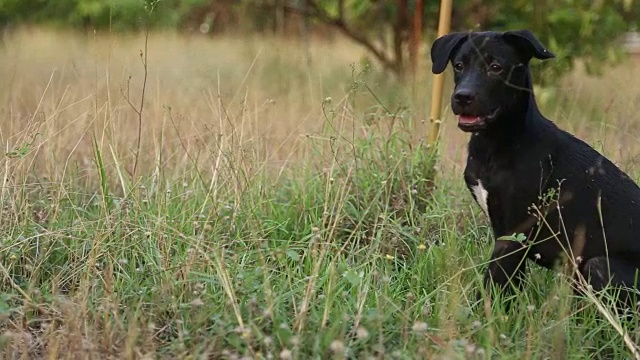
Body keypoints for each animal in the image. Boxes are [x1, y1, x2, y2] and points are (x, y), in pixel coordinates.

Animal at [430, 28, 640, 310]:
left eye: (496, 67)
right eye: (459, 65)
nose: (462, 97)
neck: (499, 144)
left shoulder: (513, 233)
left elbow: (492, 287)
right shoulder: (508, 236)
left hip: (599, 266)